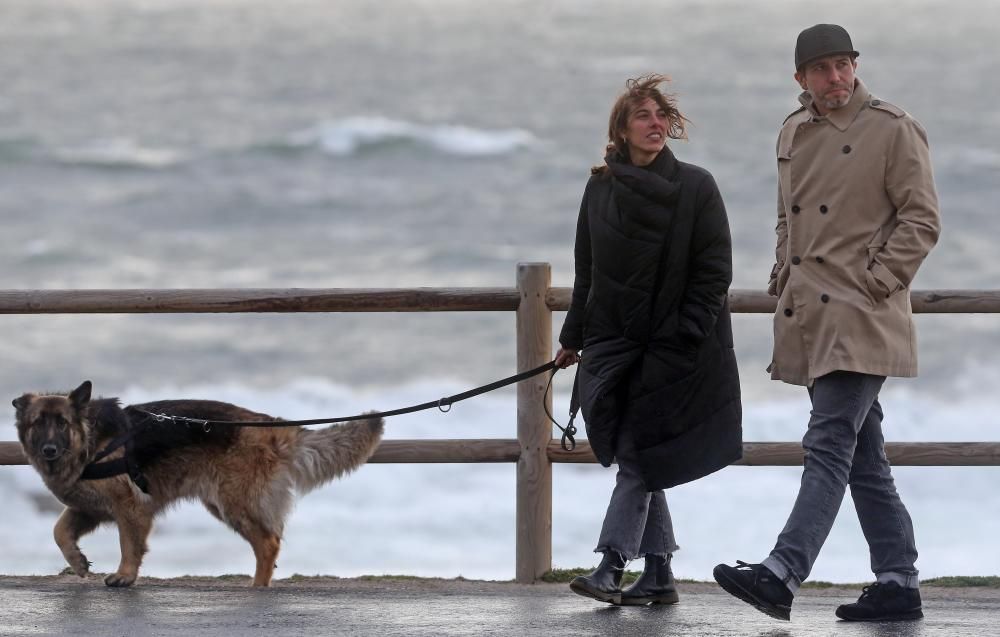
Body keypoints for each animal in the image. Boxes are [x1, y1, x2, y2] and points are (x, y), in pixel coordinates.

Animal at [13, 378, 384, 588]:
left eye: (62, 423)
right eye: (38, 423)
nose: (48, 450)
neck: (90, 442)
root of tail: (272, 425)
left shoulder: (130, 509)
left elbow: (128, 545)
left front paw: (126, 575)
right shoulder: (88, 509)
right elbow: (59, 531)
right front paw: (77, 561)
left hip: (234, 503)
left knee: (268, 543)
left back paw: (258, 586)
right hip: (224, 504)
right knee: (270, 540)